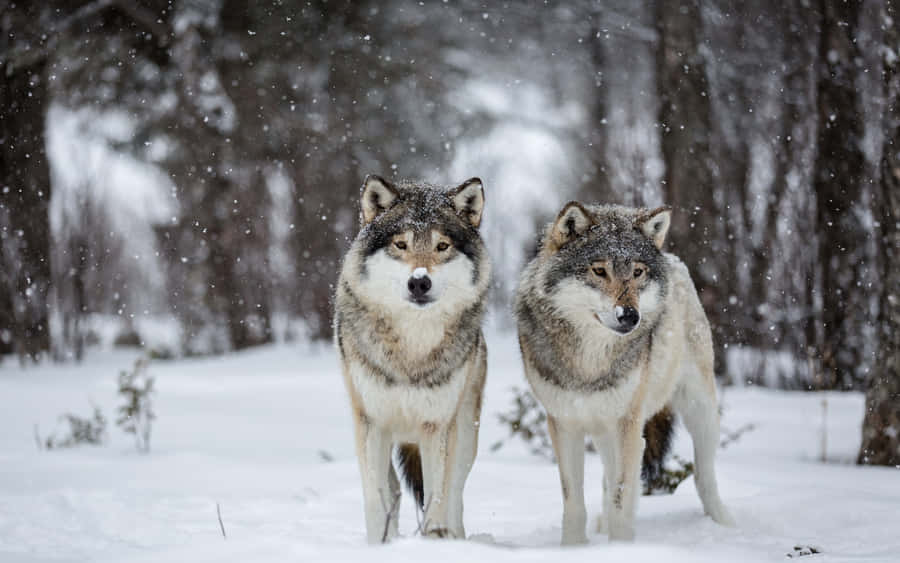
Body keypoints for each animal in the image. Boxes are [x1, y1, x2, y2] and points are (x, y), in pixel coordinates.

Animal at [334, 175, 491, 543]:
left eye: (442, 246)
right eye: (401, 245)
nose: (419, 282)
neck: (411, 349)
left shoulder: (437, 426)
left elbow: (438, 497)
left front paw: (434, 539)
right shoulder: (371, 423)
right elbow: (376, 499)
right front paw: (378, 545)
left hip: (465, 433)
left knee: (455, 494)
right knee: (392, 491)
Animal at [515, 202, 734, 544]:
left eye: (637, 272)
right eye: (599, 270)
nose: (630, 316)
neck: (590, 360)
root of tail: (674, 260)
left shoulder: (627, 425)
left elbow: (622, 496)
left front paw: (620, 546)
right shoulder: (564, 425)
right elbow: (574, 501)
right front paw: (574, 548)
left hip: (700, 411)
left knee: (703, 475)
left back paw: (723, 524)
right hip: (605, 430)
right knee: (608, 479)